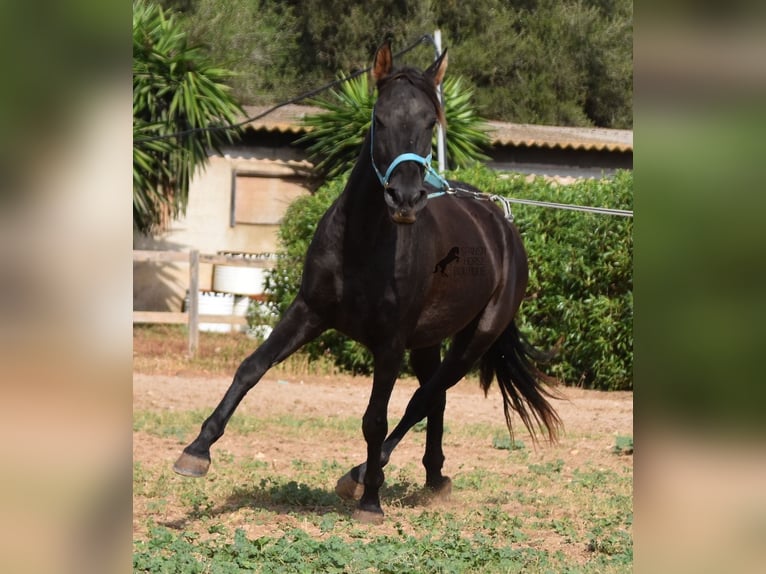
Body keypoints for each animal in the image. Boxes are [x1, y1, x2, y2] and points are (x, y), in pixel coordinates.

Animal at [178, 41, 564, 528]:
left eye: (431, 122)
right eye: (379, 119)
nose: (406, 198)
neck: (362, 243)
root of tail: (501, 224)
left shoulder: (390, 341)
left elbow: (375, 418)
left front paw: (371, 502)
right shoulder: (309, 311)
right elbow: (251, 367)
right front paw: (196, 452)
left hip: (475, 339)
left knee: (422, 399)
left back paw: (363, 474)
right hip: (428, 341)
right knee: (434, 400)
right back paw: (433, 477)